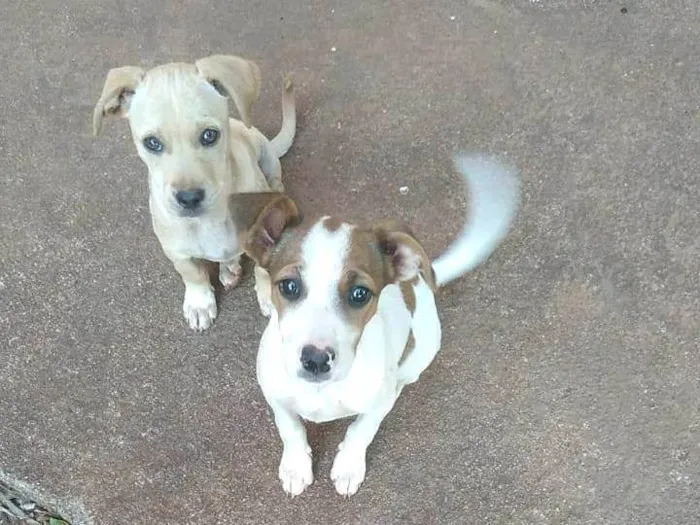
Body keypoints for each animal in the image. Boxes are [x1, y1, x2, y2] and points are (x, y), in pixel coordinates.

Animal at [93, 54, 296, 332]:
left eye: (209, 135)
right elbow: (193, 275)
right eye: (152, 143)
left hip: (266, 156)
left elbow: (263, 270)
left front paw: (267, 297)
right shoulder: (176, 250)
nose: (189, 199)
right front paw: (200, 304)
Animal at [241, 152, 520, 496]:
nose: (316, 360)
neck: (322, 391)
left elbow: (361, 430)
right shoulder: (275, 396)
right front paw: (296, 466)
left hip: (420, 355)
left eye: (360, 294)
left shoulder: (375, 405)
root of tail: (417, 279)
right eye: (289, 286)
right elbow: (290, 428)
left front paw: (348, 467)